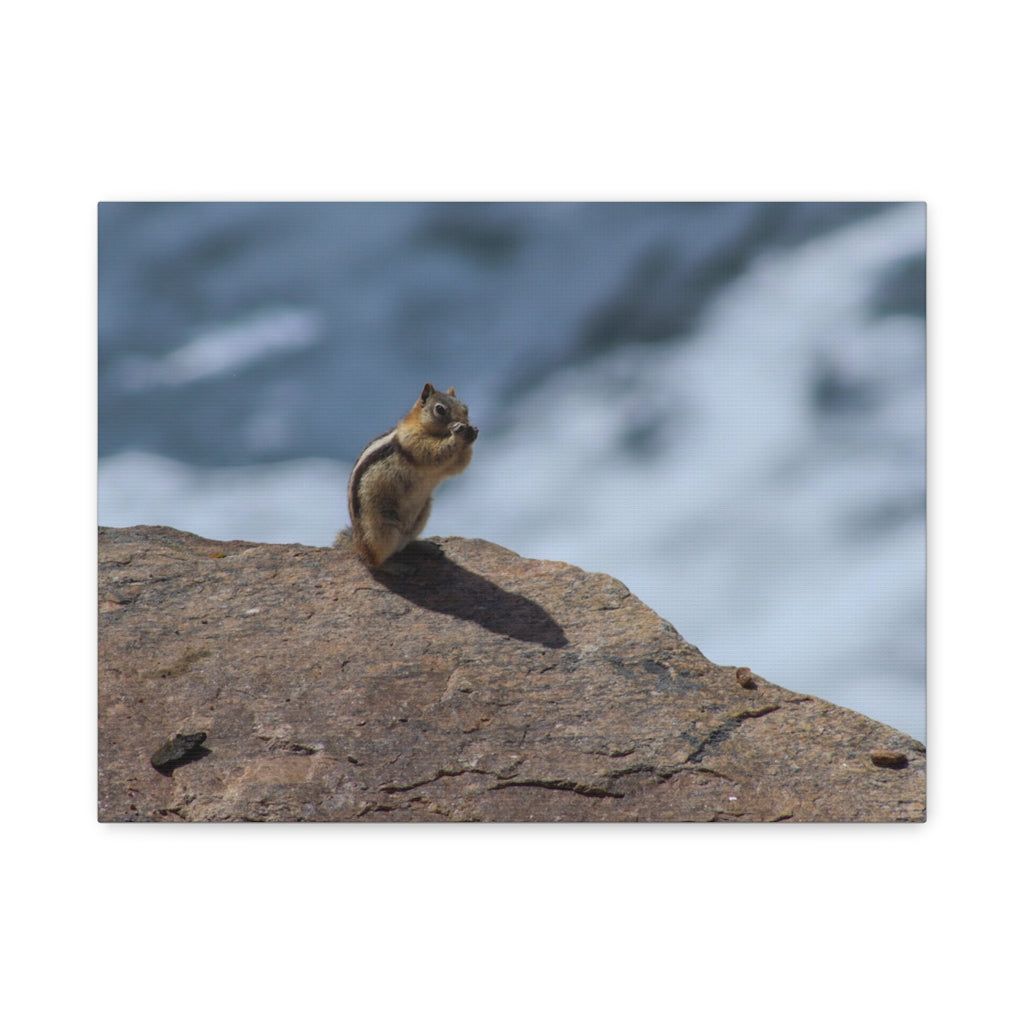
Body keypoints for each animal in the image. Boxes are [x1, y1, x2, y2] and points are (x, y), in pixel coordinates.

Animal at [341, 382, 478, 571]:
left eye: (466, 408)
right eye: (440, 409)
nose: (465, 423)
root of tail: (357, 543)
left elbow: (458, 465)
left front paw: (473, 433)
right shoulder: (414, 441)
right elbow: (435, 453)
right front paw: (458, 434)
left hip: (420, 517)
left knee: (405, 544)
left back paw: (425, 546)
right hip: (382, 531)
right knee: (373, 561)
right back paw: (395, 567)